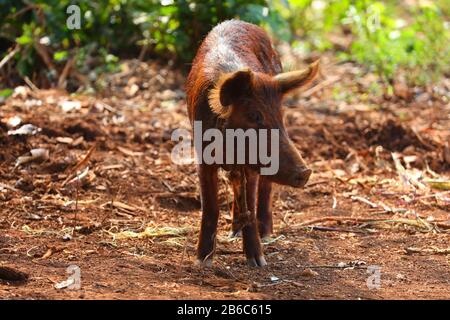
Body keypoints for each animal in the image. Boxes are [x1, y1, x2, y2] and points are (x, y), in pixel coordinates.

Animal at [185, 18, 318, 266]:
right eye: (255, 116)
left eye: (279, 117)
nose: (305, 172)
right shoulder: (202, 156)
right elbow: (211, 207)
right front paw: (202, 260)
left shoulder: (253, 164)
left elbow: (252, 198)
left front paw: (258, 262)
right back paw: (233, 232)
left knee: (264, 190)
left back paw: (265, 234)